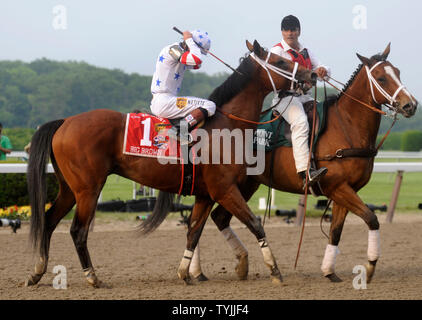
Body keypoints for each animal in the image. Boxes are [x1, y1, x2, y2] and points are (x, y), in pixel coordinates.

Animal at [24, 40, 316, 288]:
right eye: (281, 60)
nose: (311, 75)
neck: (225, 124)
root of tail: (65, 121)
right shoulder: (224, 189)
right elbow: (255, 223)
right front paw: (275, 270)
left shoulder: (205, 194)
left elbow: (194, 232)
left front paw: (185, 273)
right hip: (88, 189)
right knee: (78, 230)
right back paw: (92, 277)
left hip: (68, 189)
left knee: (49, 221)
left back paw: (37, 272)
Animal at [191, 43, 418, 284]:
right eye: (381, 77)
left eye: (398, 72)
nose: (410, 105)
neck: (346, 126)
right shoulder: (338, 187)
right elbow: (372, 218)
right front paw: (370, 266)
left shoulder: (345, 191)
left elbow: (336, 231)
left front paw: (329, 271)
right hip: (226, 185)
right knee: (202, 221)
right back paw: (197, 271)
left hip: (244, 185)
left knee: (217, 218)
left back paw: (230, 266)